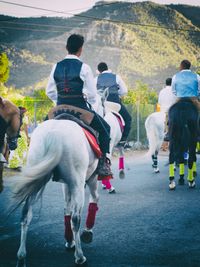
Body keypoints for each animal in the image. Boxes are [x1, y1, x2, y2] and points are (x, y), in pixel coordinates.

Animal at [12, 119, 99, 266]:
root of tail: (54, 133)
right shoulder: (91, 178)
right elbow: (94, 198)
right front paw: (87, 233)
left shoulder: (67, 183)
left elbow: (66, 209)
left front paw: (69, 241)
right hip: (77, 183)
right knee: (75, 219)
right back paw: (80, 257)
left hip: (35, 174)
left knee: (25, 214)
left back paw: (21, 256)